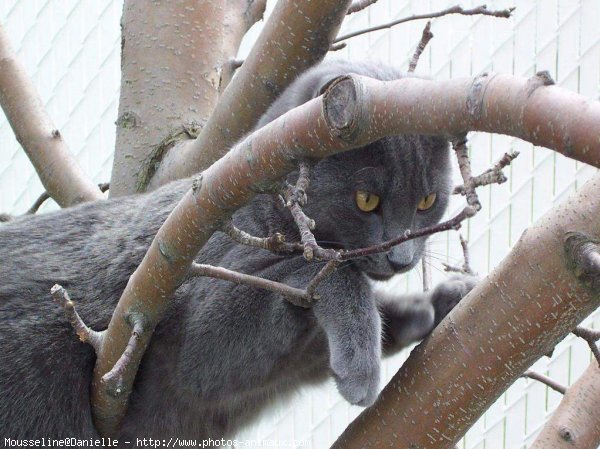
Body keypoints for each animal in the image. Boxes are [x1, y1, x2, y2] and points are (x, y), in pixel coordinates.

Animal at [1, 59, 478, 440]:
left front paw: (442, 301)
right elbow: (326, 275)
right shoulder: (199, 323)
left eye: (427, 202)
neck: (265, 218)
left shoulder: (299, 358)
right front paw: (362, 364)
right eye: (366, 201)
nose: (402, 258)